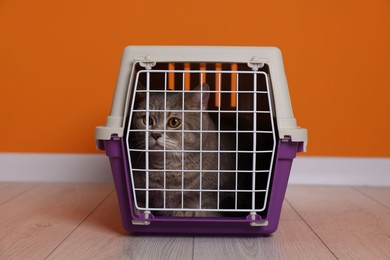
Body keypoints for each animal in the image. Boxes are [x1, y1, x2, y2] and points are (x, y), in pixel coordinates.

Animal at [129, 83, 236, 217]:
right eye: (147, 120)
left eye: (174, 122)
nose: (155, 134)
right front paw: (139, 208)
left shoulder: (212, 194)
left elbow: (196, 202)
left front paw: (183, 210)